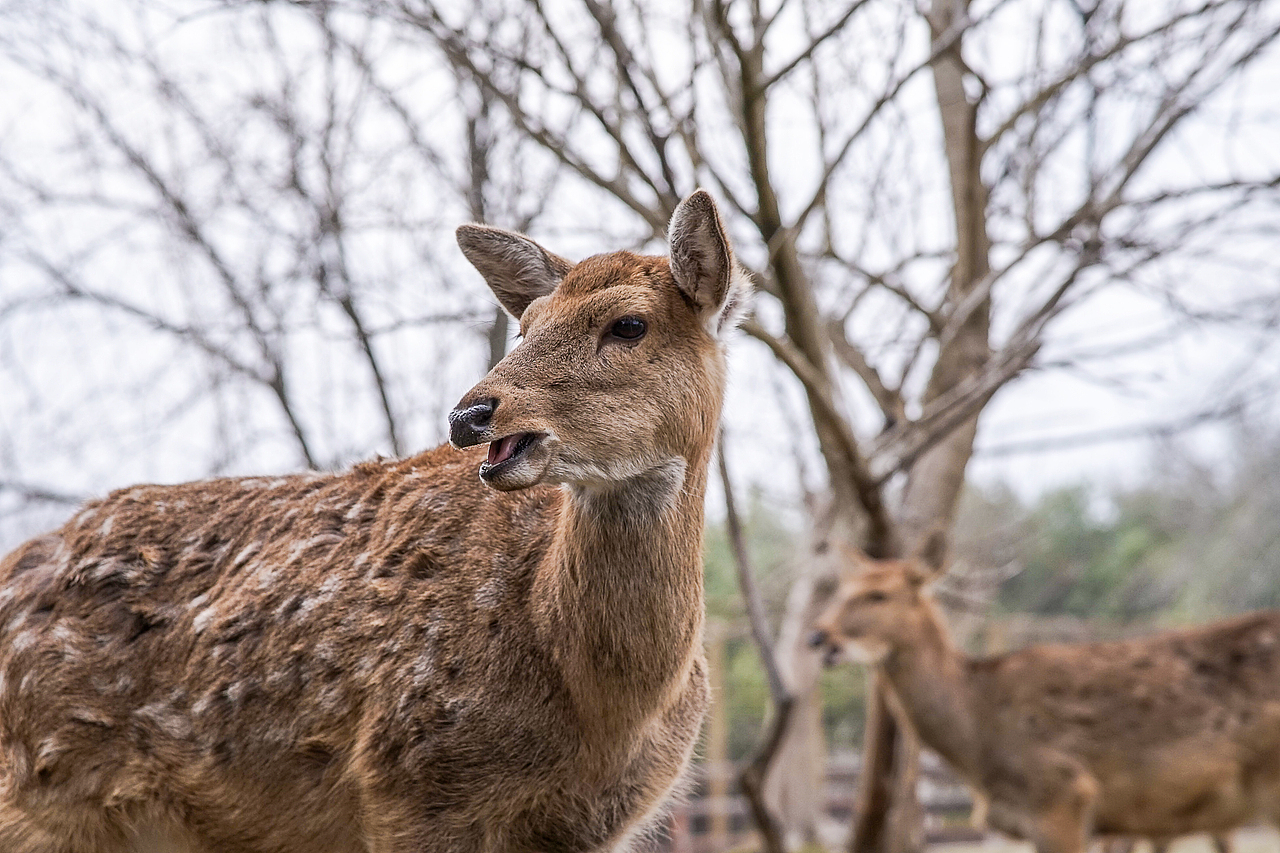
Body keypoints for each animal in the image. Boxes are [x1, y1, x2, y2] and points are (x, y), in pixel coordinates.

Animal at [0, 190, 749, 853]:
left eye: (629, 324)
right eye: (526, 325)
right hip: (38, 796)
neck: (601, 711)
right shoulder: (407, 780)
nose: (469, 415)